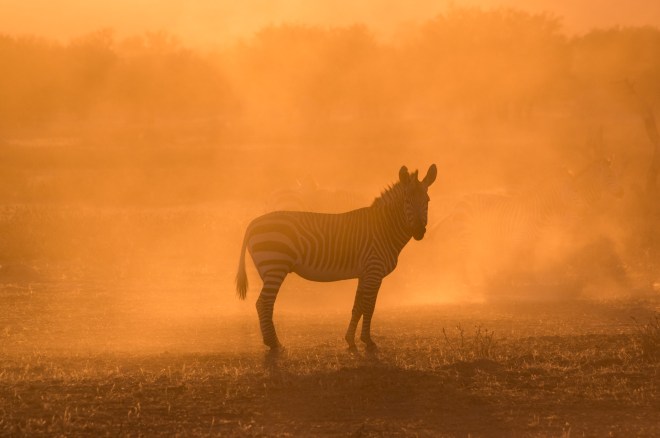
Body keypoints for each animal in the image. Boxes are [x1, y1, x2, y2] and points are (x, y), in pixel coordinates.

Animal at [236, 164, 437, 351]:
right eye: (407, 200)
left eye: (427, 200)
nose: (419, 232)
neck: (384, 228)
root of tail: (253, 223)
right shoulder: (374, 271)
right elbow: (369, 306)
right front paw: (368, 341)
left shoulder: (364, 274)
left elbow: (358, 306)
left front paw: (350, 340)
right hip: (275, 266)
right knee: (264, 303)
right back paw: (274, 344)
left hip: (268, 269)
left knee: (262, 304)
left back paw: (271, 342)